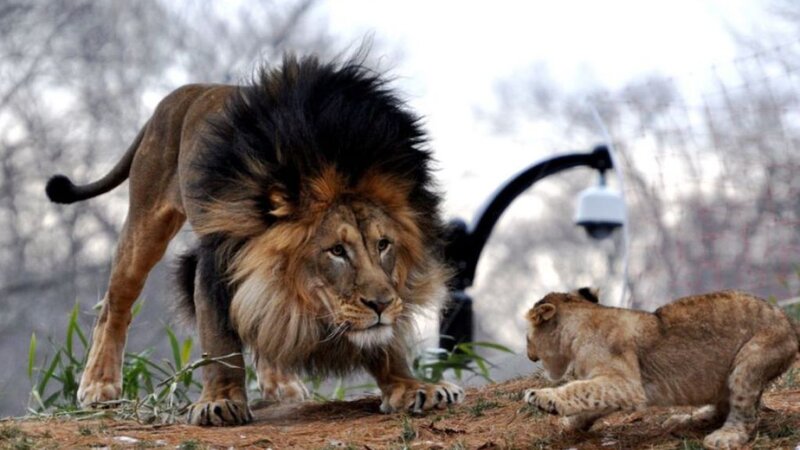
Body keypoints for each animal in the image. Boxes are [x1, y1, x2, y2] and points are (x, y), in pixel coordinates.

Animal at [45, 55, 464, 426]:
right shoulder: (217, 264)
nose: (380, 304)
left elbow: (382, 340)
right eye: (336, 251)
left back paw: (281, 383)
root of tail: (186, 92)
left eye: (383, 244)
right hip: (145, 221)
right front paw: (220, 402)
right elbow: (220, 342)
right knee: (115, 306)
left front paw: (412, 387)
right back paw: (99, 385)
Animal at [522, 289, 800, 449]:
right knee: (722, 407)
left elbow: (578, 389)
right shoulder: (612, 383)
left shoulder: (627, 384)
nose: (529, 356)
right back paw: (687, 419)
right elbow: (591, 399)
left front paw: (542, 397)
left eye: (527, 337)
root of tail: (790, 324)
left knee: (747, 416)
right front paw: (572, 423)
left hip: (750, 361)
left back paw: (725, 436)